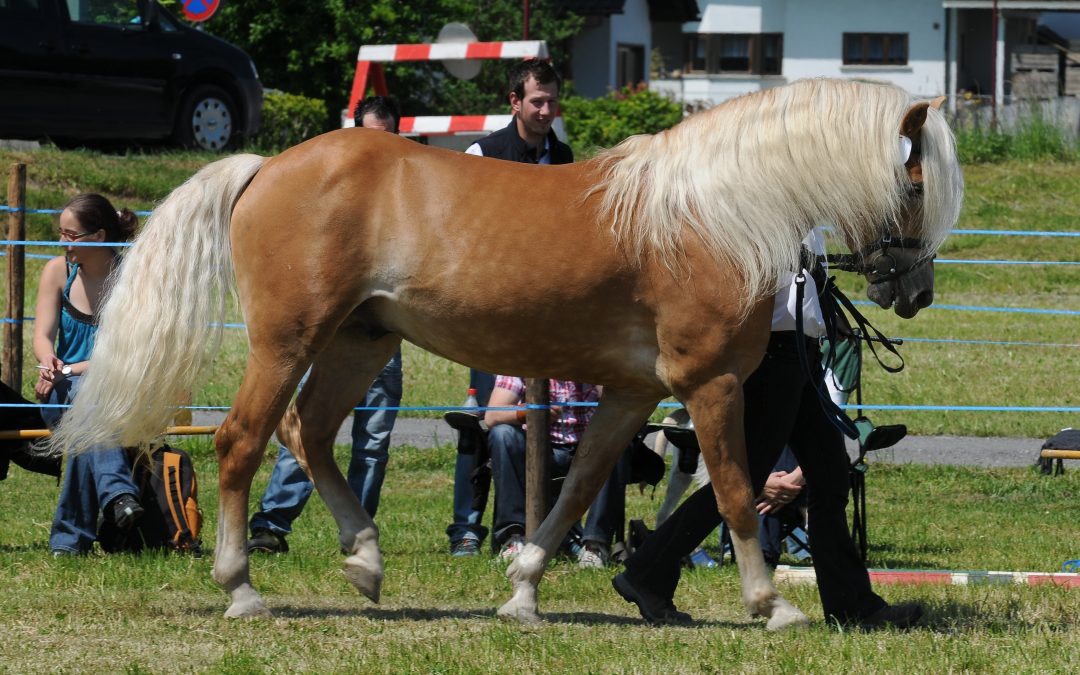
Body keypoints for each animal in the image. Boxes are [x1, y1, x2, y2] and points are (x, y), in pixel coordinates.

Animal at [50, 78, 963, 626]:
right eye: (915, 179)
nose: (914, 289)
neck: (715, 212)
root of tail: (265, 166)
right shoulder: (710, 386)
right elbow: (736, 493)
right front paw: (772, 605)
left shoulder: (630, 394)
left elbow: (576, 493)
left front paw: (523, 592)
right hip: (288, 341)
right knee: (243, 441)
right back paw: (242, 588)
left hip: (358, 342)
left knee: (307, 434)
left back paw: (366, 561)